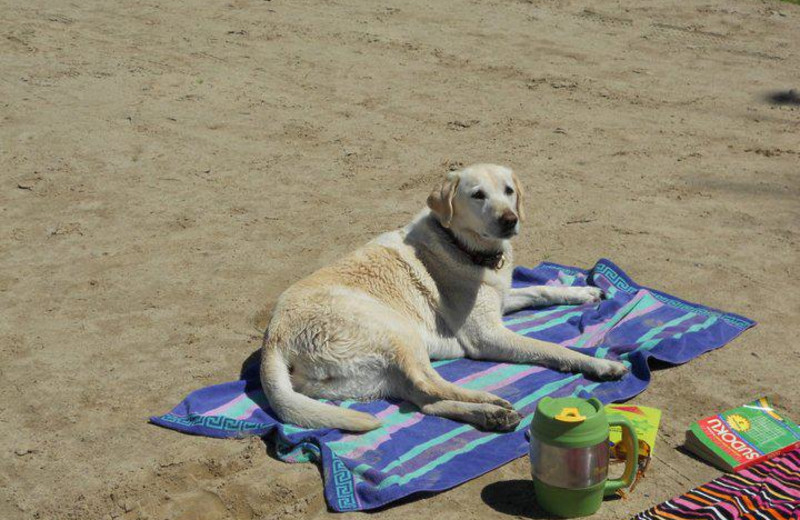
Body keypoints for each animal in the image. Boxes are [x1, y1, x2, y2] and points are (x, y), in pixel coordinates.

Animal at [260, 165, 628, 432]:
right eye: (478, 195)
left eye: (509, 191)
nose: (510, 219)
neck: (464, 247)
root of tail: (274, 340)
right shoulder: (487, 336)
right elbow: (552, 348)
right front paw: (599, 363)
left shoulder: (500, 299)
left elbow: (542, 290)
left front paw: (584, 291)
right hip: (398, 332)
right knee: (431, 384)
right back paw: (491, 403)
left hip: (371, 377)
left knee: (424, 401)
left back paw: (488, 416)